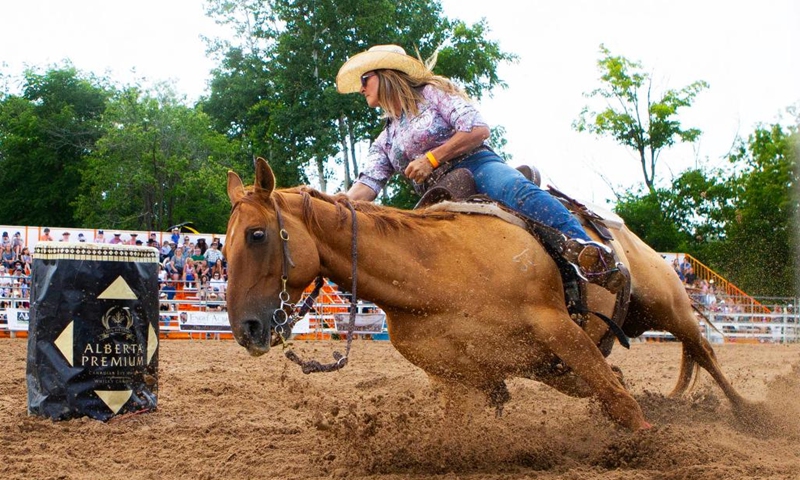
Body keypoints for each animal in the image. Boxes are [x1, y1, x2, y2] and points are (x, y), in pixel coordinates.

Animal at [223, 158, 752, 432]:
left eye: (257, 234)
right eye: (223, 247)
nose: (245, 328)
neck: (436, 275)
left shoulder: (556, 326)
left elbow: (621, 401)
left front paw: (645, 440)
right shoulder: (458, 378)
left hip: (667, 304)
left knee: (703, 353)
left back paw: (751, 416)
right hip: (556, 365)